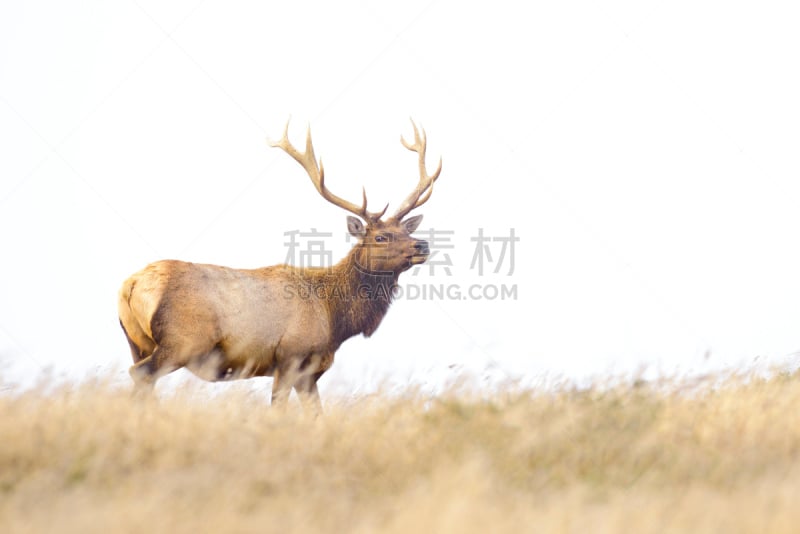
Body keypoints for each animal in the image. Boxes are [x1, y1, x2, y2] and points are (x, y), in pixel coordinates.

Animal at [117, 118, 444, 410]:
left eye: (406, 230)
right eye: (380, 237)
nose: (422, 245)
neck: (334, 319)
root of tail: (131, 285)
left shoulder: (310, 372)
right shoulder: (290, 357)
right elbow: (278, 410)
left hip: (138, 343)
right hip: (182, 341)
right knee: (141, 375)